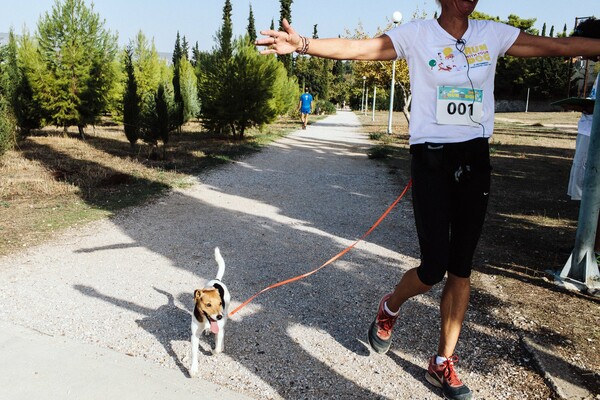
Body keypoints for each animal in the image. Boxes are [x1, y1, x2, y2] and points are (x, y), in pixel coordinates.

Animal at [191, 245, 231, 376]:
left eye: (219, 303)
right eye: (208, 304)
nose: (219, 316)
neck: (206, 321)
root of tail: (217, 280)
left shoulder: (219, 328)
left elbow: (217, 349)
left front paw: (214, 350)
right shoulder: (194, 335)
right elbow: (194, 354)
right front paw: (193, 369)